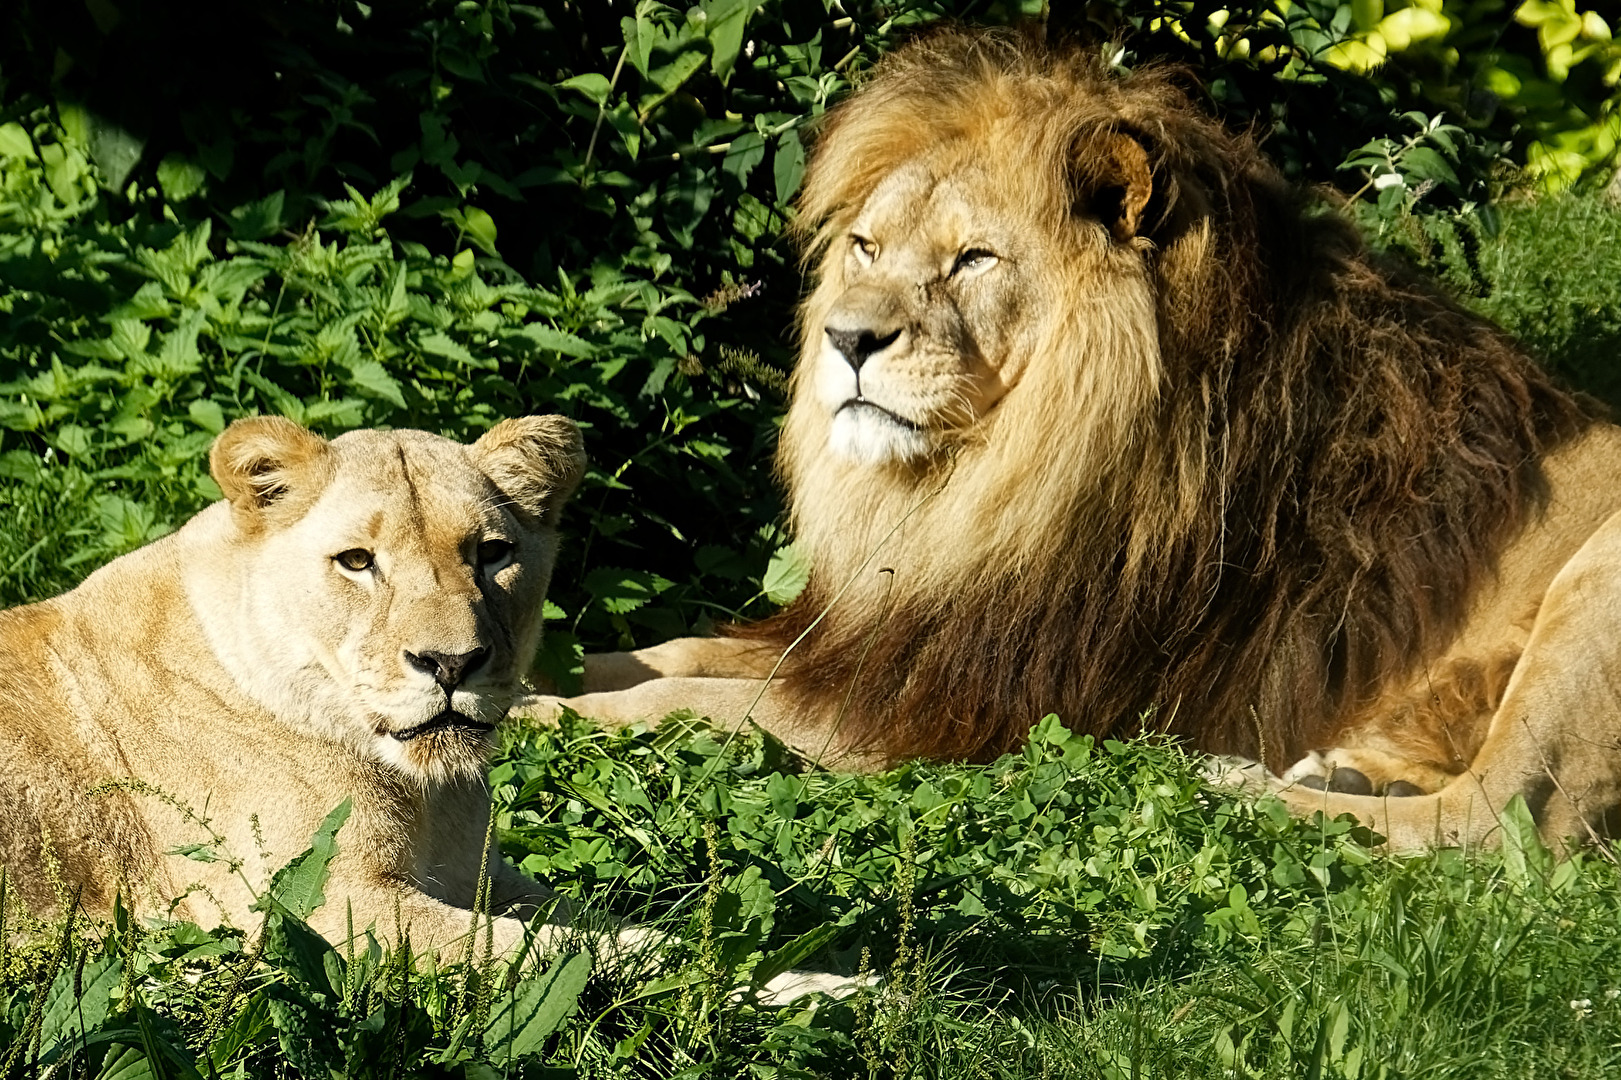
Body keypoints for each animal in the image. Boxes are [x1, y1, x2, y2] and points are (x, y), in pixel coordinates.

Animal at [525, 27, 1621, 851]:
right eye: (866, 248)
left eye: (973, 259)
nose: (846, 339)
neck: (979, 488)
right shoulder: (876, 640)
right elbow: (667, 654)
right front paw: (531, 672)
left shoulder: (949, 708)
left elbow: (681, 705)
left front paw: (531, 721)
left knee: (1490, 823)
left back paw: (1210, 777)